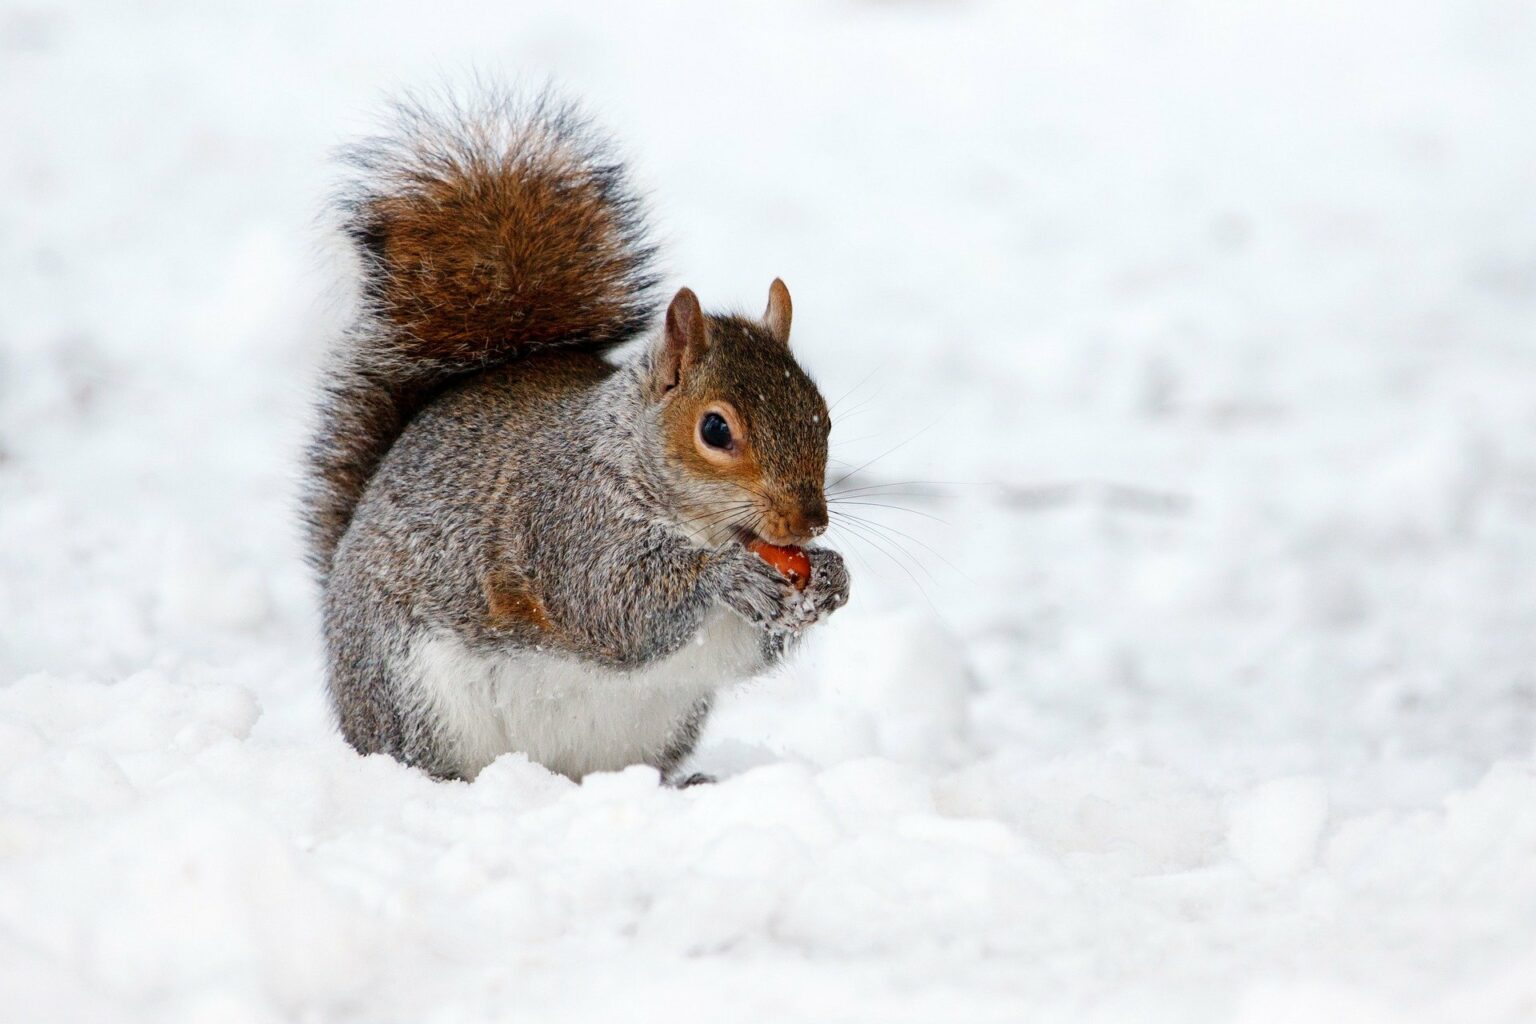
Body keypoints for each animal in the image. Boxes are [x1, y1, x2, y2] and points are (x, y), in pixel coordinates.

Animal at [303, 89, 851, 785]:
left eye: (824, 417)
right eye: (715, 429)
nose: (810, 523)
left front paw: (831, 577)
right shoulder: (565, 518)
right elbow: (613, 603)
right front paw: (726, 576)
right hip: (410, 695)